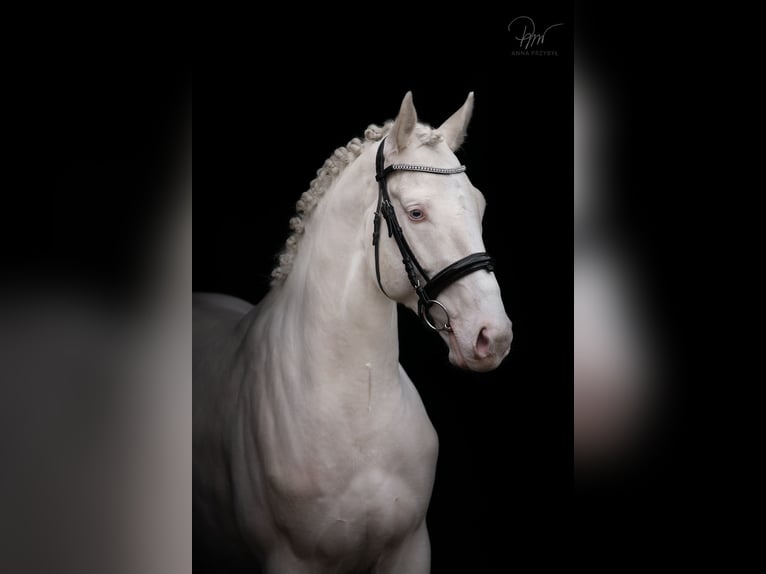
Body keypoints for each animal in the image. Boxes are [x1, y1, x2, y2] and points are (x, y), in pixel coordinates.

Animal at [195, 92, 512, 572]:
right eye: (416, 213)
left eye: (480, 206)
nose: (492, 336)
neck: (359, 412)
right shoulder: (290, 559)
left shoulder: (411, 549)